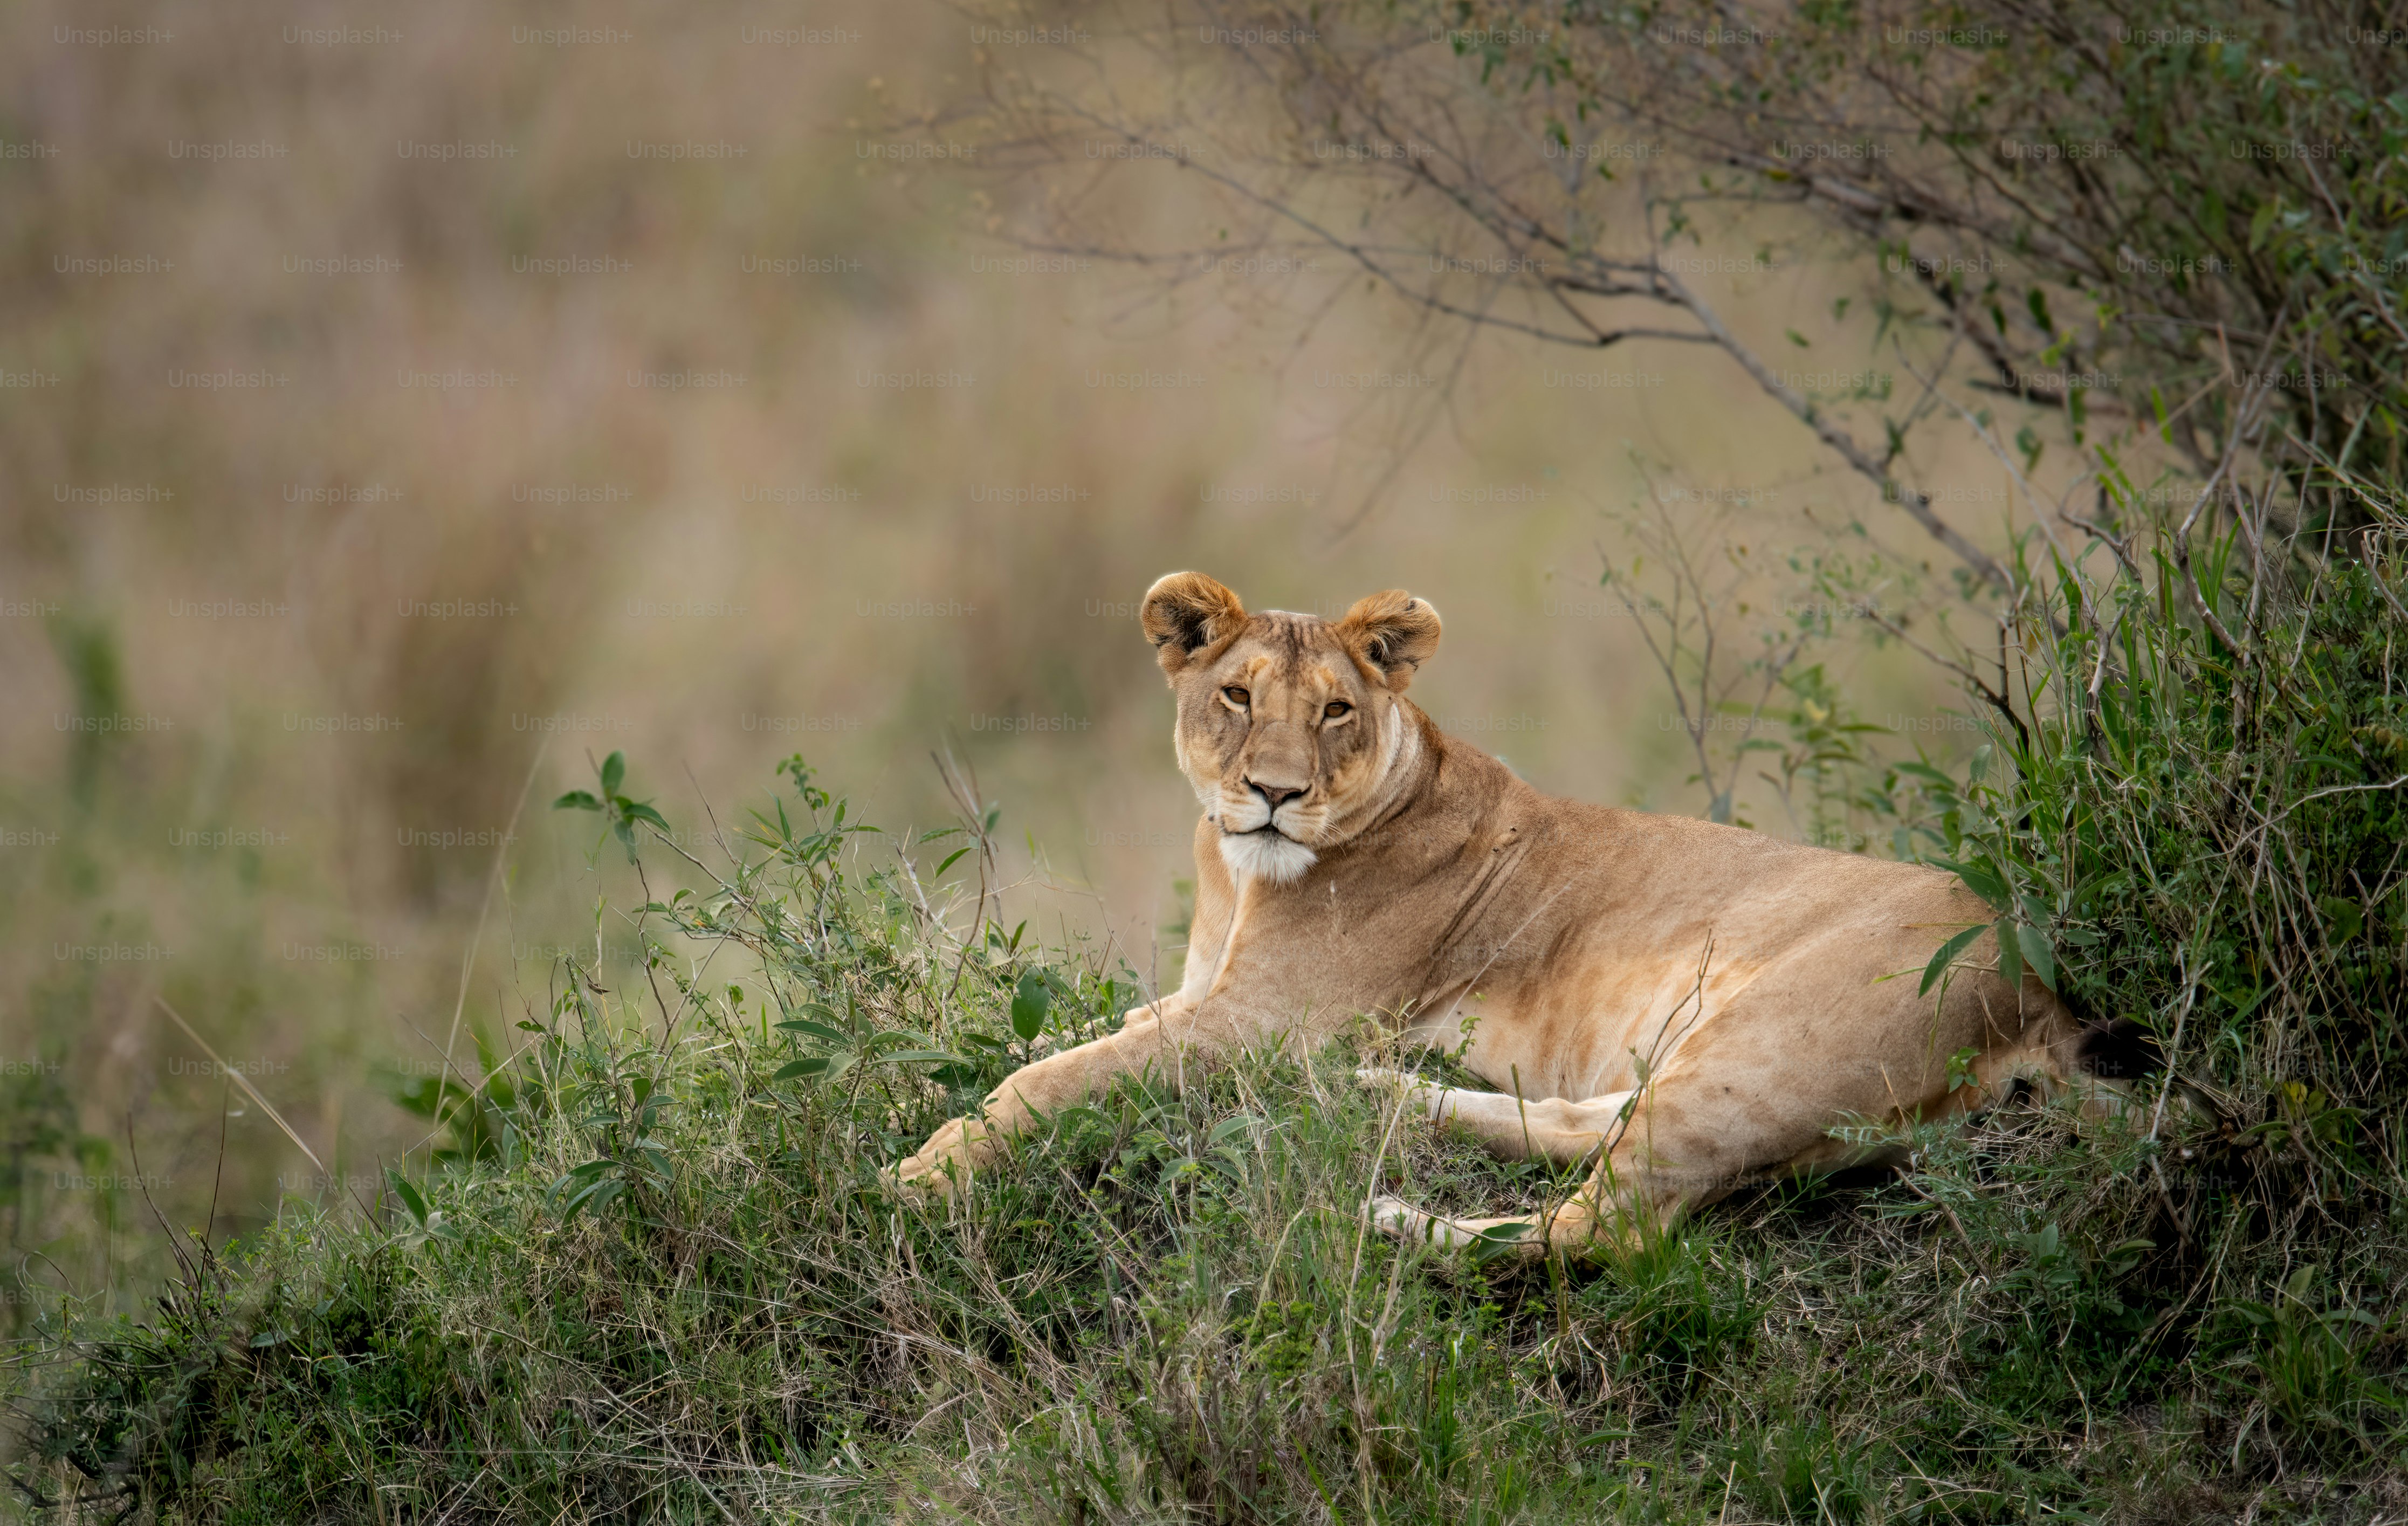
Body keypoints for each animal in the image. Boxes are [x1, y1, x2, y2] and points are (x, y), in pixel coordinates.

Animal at [892, 571, 2151, 1257]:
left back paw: (1392, 1220)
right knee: (1588, 1129)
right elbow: (1072, 1041)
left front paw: (929, 1168)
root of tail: (2041, 984)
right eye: (1236, 695)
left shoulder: (1255, 1025)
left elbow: (1053, 1075)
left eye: (1337, 711)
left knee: (1602, 1231)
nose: (1275, 793)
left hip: (1769, 1041)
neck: (1237, 871)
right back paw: (1386, 1096)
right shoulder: (1205, 998)